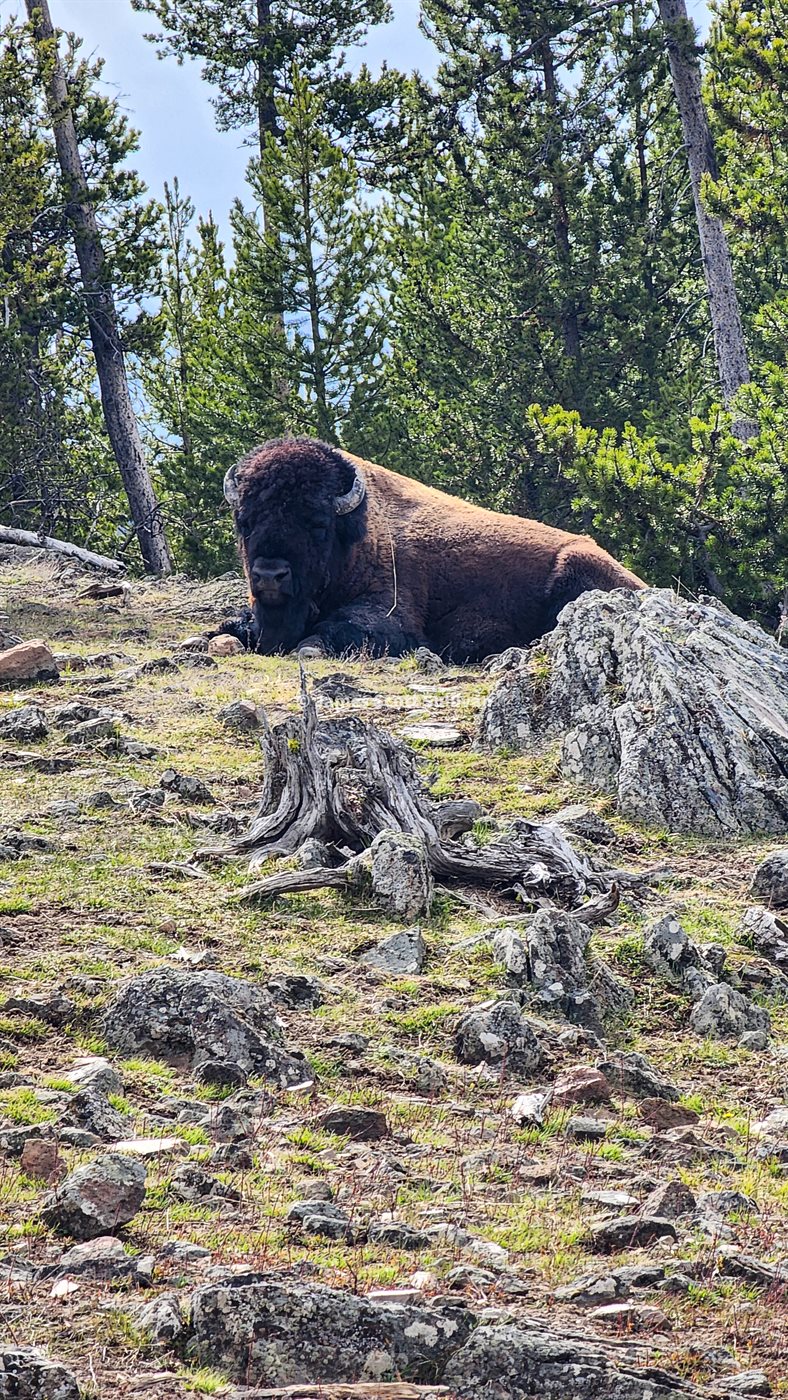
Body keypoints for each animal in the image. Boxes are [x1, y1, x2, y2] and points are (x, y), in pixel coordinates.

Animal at [220, 437, 644, 662]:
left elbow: (333, 631)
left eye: (318, 525)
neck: (359, 535)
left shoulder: (390, 613)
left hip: (574, 566)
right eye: (245, 521)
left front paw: (309, 648)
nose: (270, 575)